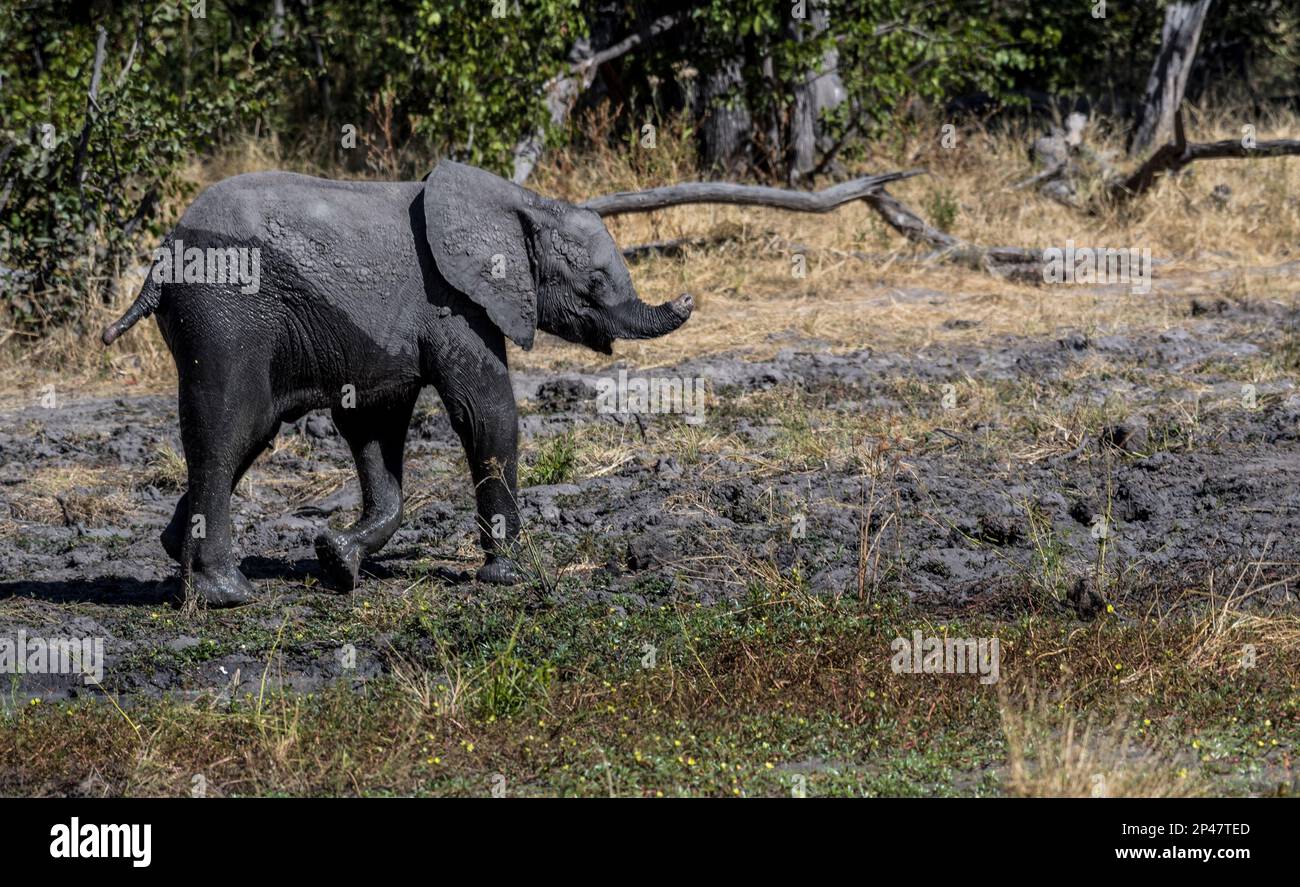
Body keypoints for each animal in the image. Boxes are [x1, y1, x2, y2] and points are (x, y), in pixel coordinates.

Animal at [101, 161, 693, 607]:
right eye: (594, 281)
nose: (688, 297)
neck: (523, 202)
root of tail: (160, 260)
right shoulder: (454, 303)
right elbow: (485, 413)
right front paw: (508, 577)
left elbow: (374, 425)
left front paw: (338, 561)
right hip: (224, 308)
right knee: (229, 425)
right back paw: (226, 594)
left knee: (250, 430)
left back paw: (178, 555)